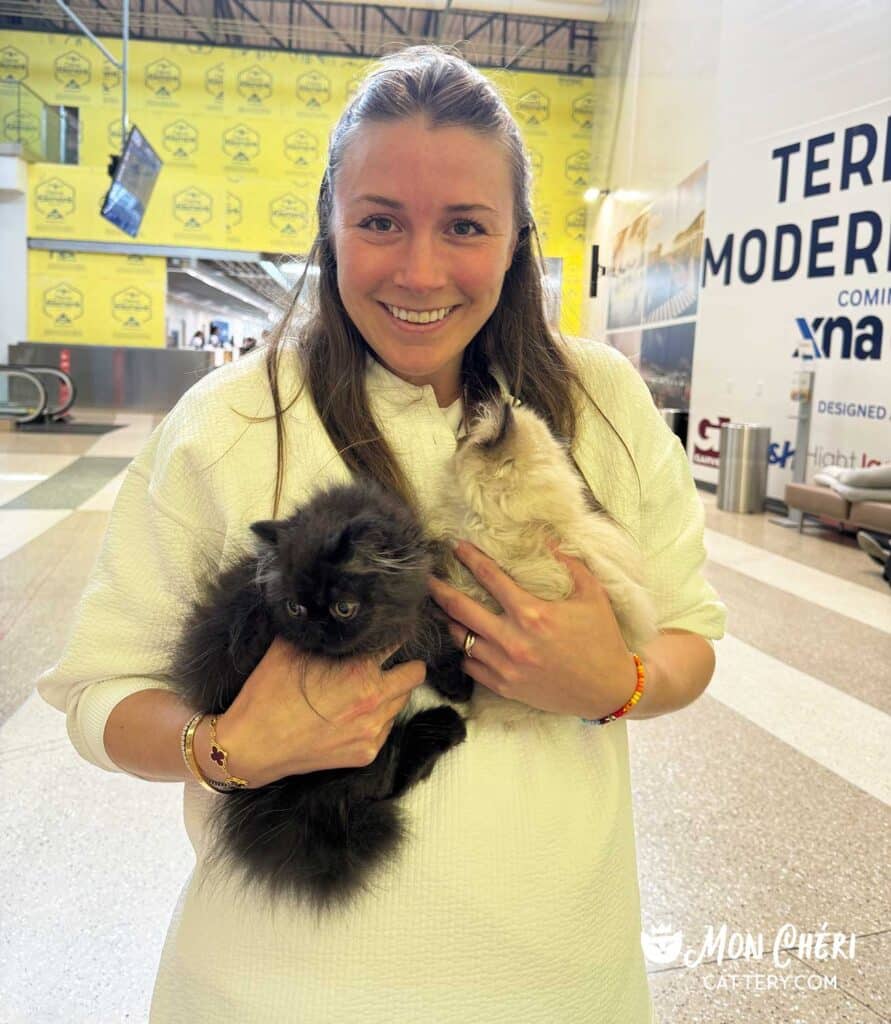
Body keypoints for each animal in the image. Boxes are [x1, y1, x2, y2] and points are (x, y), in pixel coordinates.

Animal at [168, 479, 475, 913]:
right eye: (295, 608)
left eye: (343, 608)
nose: (315, 629)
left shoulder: (415, 612)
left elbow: (433, 631)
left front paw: (459, 682)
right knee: (384, 781)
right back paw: (444, 726)